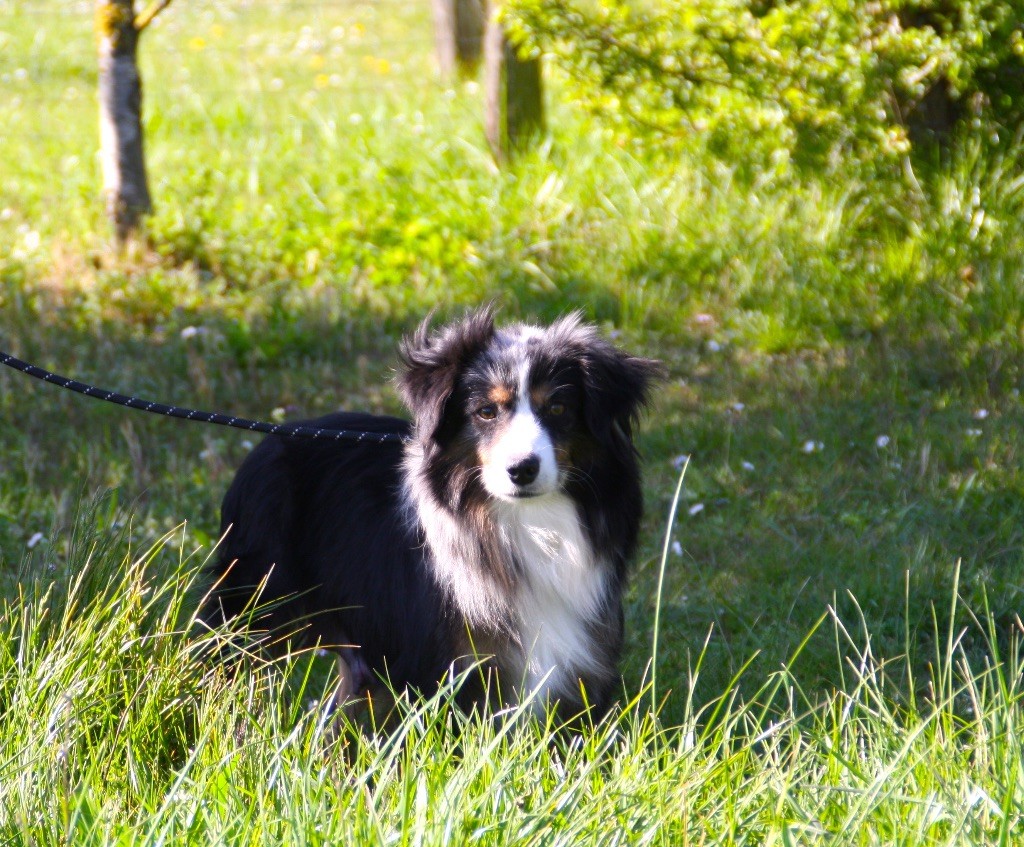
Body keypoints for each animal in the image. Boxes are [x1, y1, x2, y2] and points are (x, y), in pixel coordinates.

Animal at [203, 307, 659, 716]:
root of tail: (266, 442)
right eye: (486, 411)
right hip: (254, 603)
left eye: (558, 409)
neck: (527, 521)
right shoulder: (443, 668)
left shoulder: (582, 666)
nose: (522, 470)